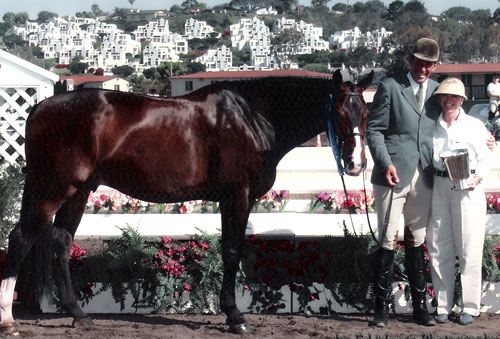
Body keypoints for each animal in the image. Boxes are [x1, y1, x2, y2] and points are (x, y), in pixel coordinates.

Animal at [0, 68, 372, 334]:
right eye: (341, 112)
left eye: (365, 112)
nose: (356, 164)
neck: (252, 116)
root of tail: (39, 108)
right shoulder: (237, 194)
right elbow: (232, 250)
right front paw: (235, 317)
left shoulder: (234, 198)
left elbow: (230, 249)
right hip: (53, 189)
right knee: (21, 238)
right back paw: (8, 318)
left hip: (78, 191)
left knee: (61, 242)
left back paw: (78, 315)